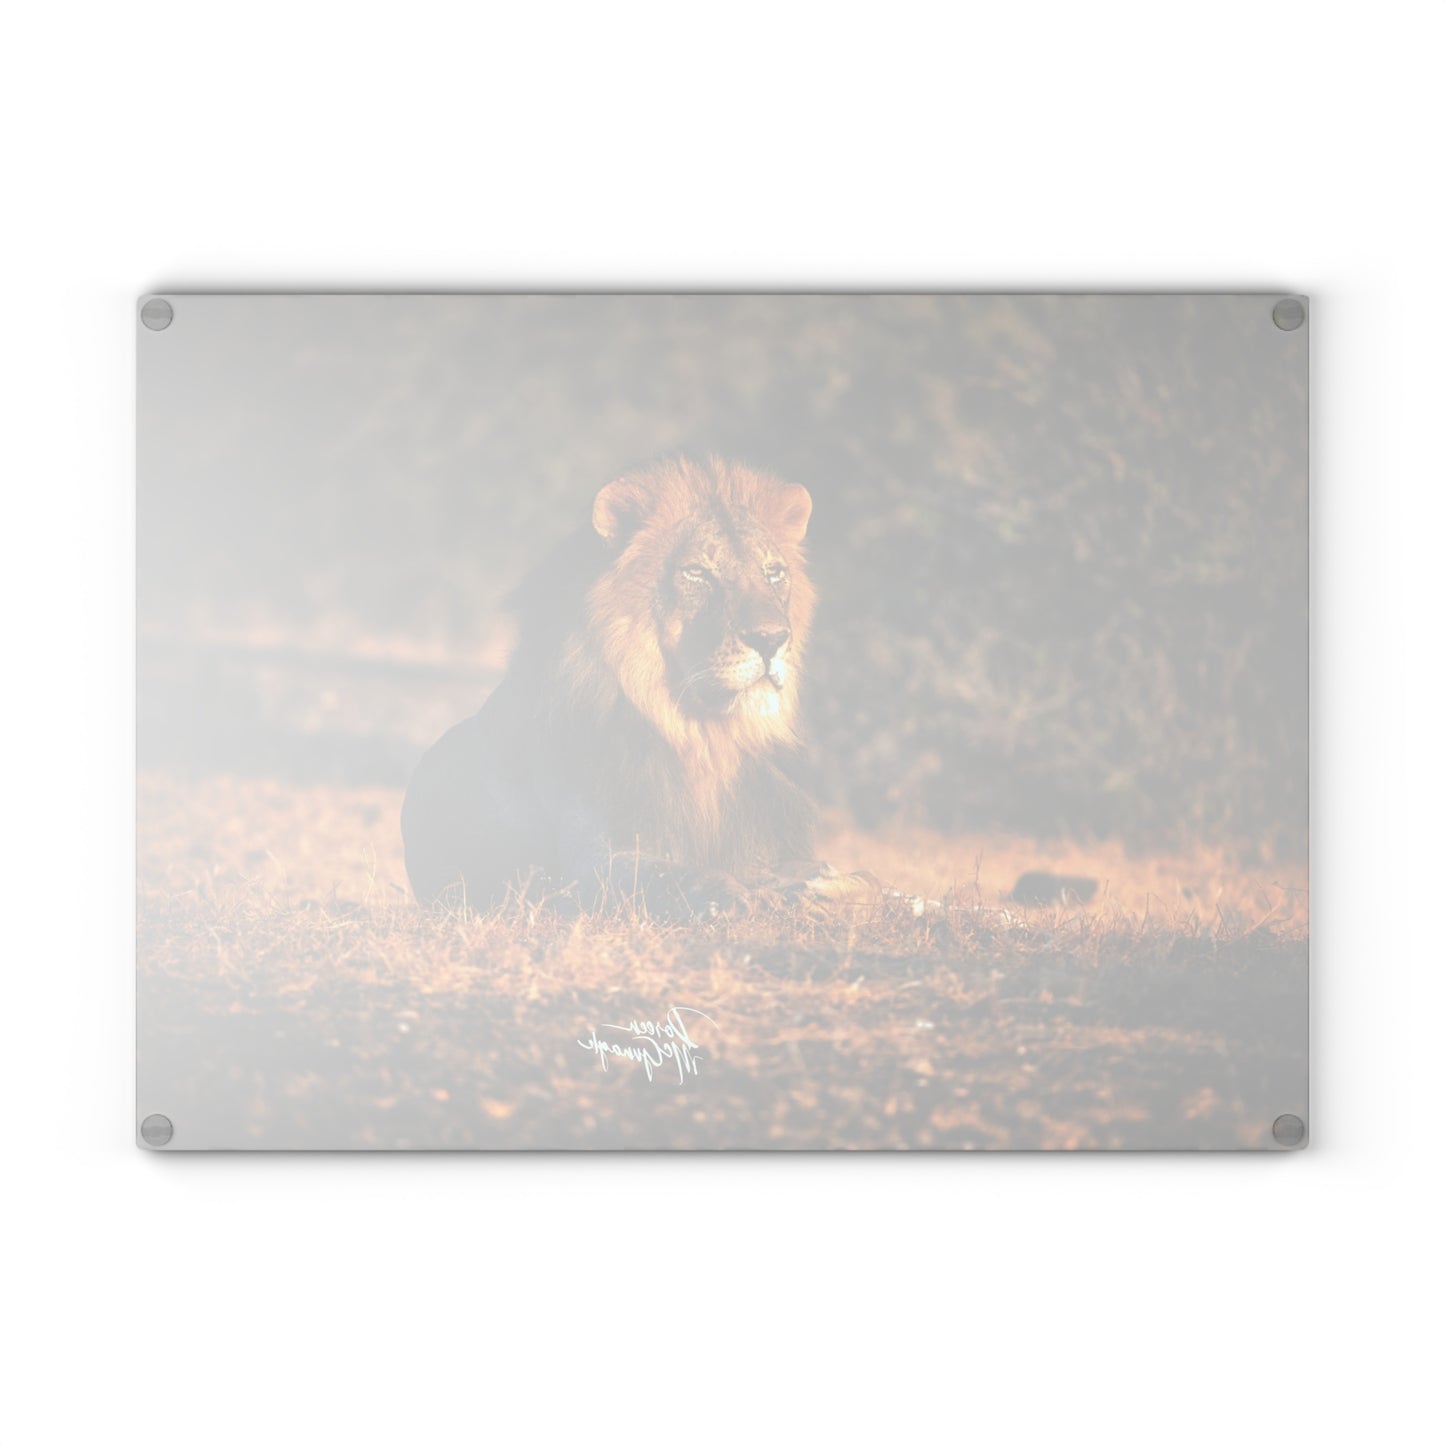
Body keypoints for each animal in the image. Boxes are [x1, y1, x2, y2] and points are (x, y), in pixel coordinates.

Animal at [402, 455, 867, 916]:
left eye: (773, 573)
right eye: (697, 573)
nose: (772, 639)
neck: (705, 738)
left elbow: (865, 879)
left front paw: (831, 885)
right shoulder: (591, 860)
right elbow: (673, 876)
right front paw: (736, 897)